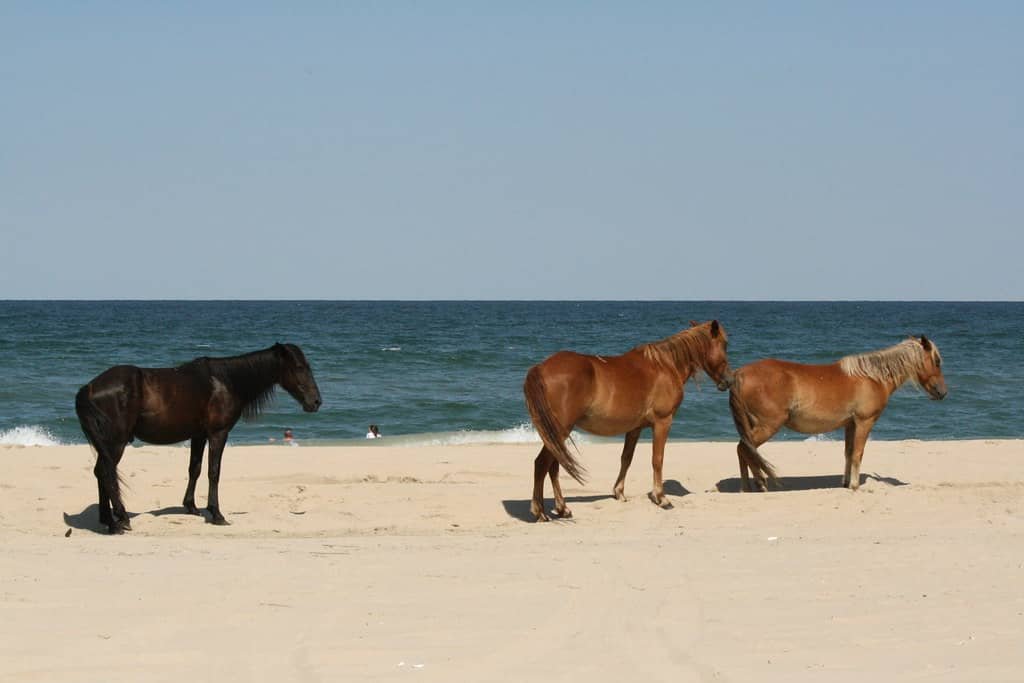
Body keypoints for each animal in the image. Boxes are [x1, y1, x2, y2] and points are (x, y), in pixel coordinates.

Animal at [75, 342, 319, 532]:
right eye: (299, 367)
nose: (316, 402)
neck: (227, 381)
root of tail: (90, 387)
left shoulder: (199, 435)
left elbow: (195, 468)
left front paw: (191, 506)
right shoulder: (218, 434)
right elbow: (214, 472)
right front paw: (217, 514)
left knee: (101, 472)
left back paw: (107, 519)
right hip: (116, 442)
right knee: (106, 472)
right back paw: (119, 521)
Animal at [528, 323, 770, 520]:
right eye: (724, 344)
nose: (729, 380)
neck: (666, 365)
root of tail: (540, 367)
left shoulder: (634, 428)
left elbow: (626, 459)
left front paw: (619, 492)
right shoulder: (663, 422)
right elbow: (657, 459)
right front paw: (662, 498)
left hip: (557, 434)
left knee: (553, 467)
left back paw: (562, 508)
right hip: (560, 430)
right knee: (542, 464)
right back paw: (540, 512)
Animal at [733, 335, 946, 491]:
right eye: (936, 361)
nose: (942, 392)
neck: (872, 377)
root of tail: (740, 374)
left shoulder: (850, 424)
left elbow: (848, 453)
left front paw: (845, 482)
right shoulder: (864, 422)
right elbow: (858, 453)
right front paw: (854, 485)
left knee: (745, 451)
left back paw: (747, 487)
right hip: (767, 425)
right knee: (744, 448)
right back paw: (758, 484)